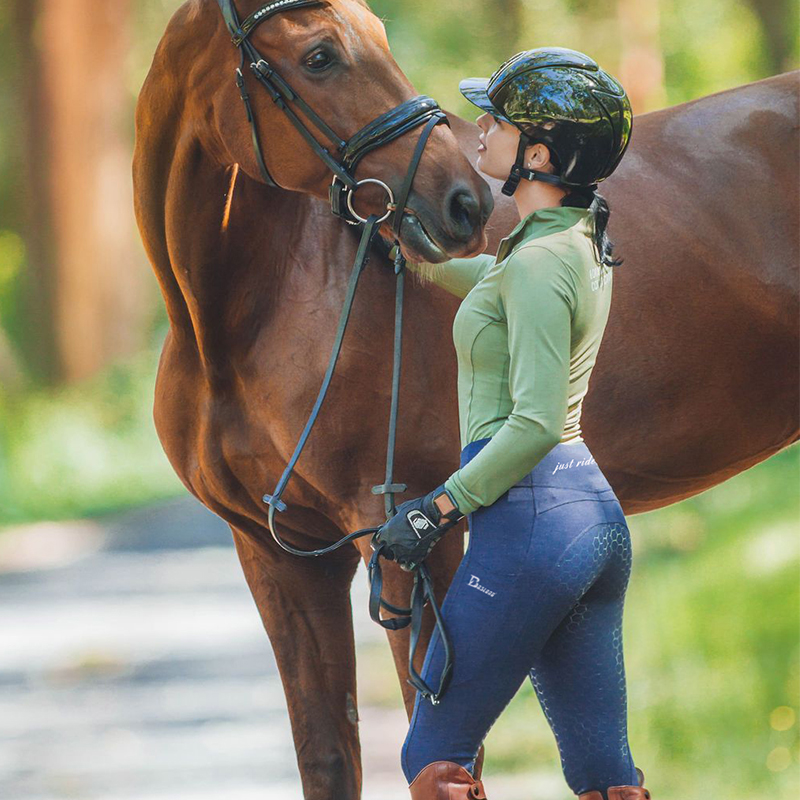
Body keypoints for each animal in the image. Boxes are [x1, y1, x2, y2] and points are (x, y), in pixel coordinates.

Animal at [133, 0, 800, 792]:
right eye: (320, 55)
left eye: (378, 35)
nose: (465, 202)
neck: (252, 314)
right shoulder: (278, 556)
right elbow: (328, 758)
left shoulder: (407, 544)